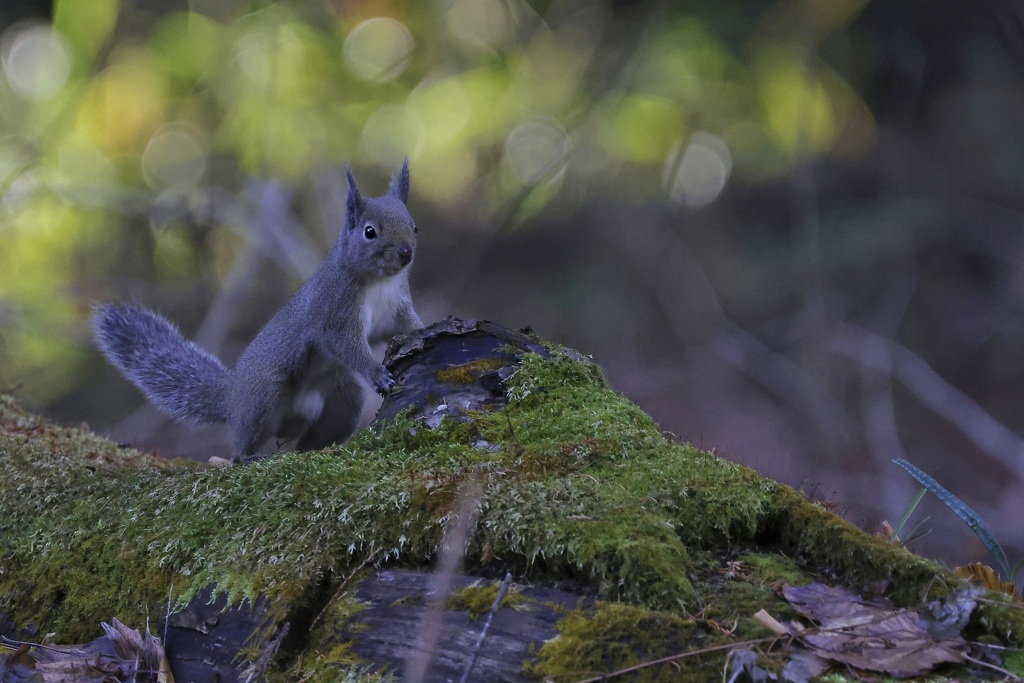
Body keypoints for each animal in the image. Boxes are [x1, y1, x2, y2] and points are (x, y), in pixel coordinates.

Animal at [92, 160, 419, 458]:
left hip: (345, 397)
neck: (379, 282)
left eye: (414, 226)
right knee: (242, 451)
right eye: (369, 232)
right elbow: (345, 344)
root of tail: (232, 399)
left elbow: (406, 326)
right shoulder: (334, 309)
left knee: (311, 439)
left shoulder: (395, 309)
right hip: (265, 393)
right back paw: (251, 456)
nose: (406, 252)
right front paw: (377, 373)